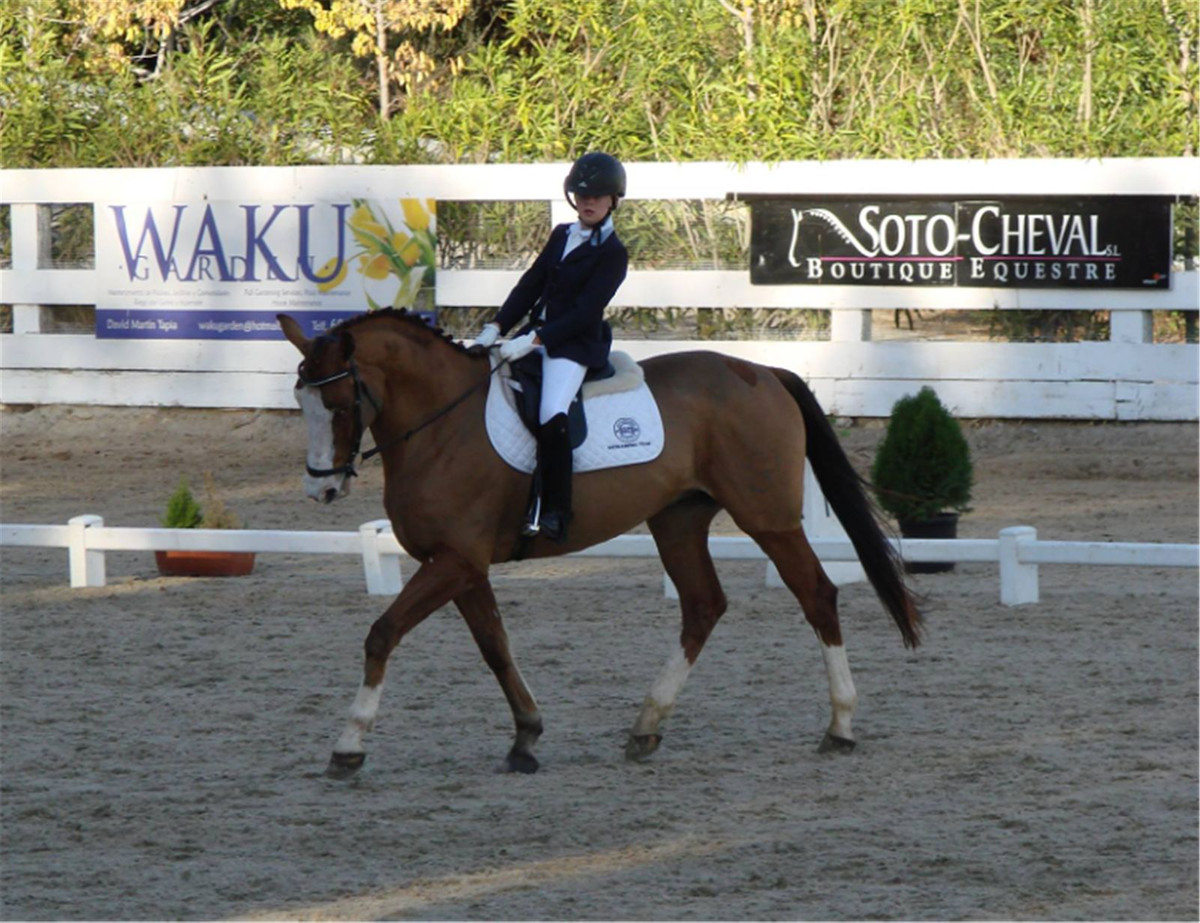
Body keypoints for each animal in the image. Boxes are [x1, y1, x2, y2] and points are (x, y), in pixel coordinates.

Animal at [277, 309, 921, 776]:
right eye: (300, 401)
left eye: (339, 404)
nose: (321, 488)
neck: (441, 426)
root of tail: (765, 373)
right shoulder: (464, 564)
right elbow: (495, 647)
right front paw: (526, 738)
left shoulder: (455, 560)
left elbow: (383, 633)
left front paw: (348, 744)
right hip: (678, 520)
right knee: (703, 606)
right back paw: (645, 728)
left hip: (768, 518)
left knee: (816, 595)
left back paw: (840, 728)